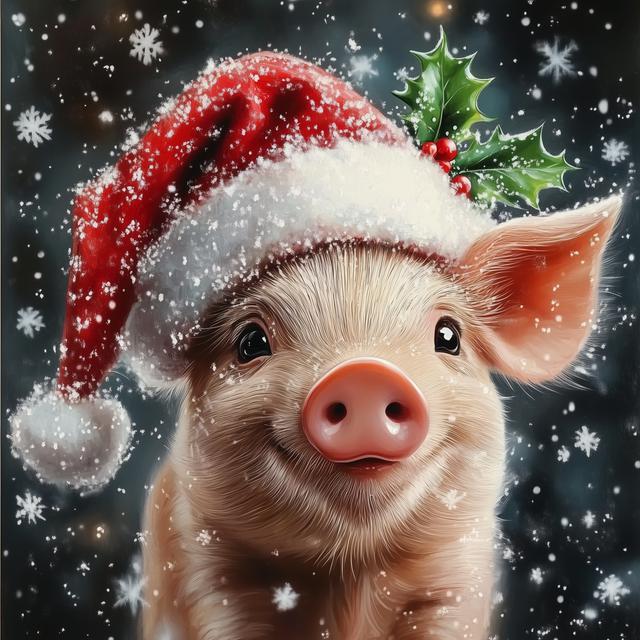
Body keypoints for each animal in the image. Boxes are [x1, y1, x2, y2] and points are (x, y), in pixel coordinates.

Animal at [140, 195, 621, 640]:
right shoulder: (205, 569)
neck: (353, 573)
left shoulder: (458, 577)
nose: (364, 373)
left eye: (448, 336)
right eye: (250, 341)